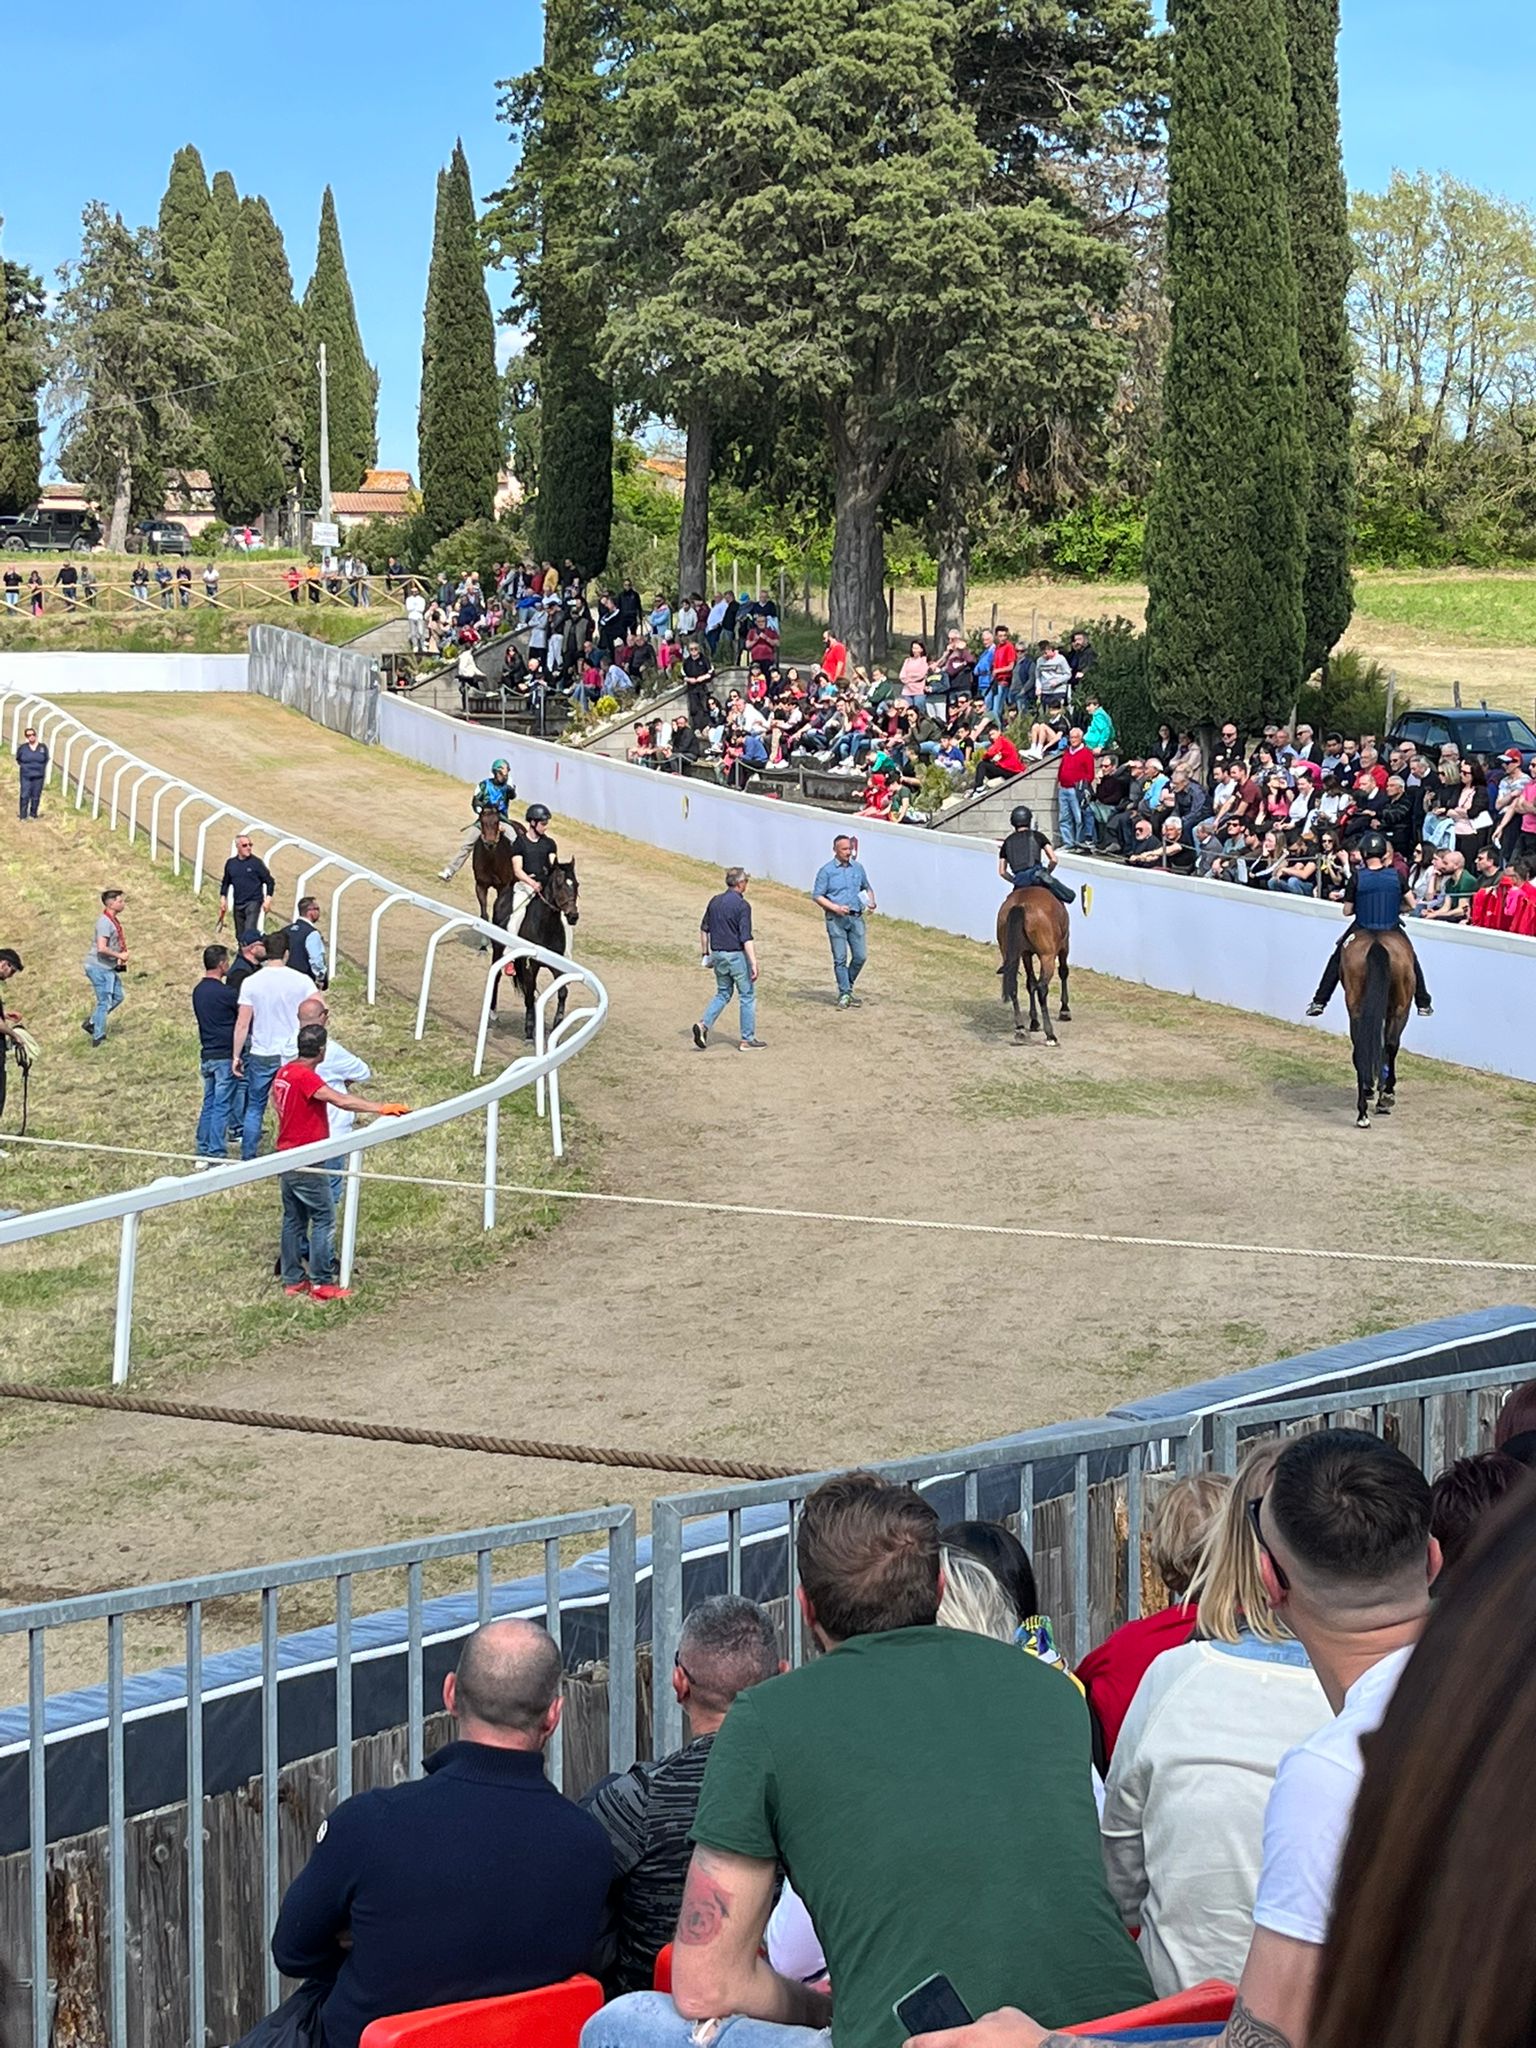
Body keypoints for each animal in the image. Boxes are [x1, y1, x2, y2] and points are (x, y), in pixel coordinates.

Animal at [499, 856, 581, 1032]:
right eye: (559, 884)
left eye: (577, 884)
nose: (573, 916)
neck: (546, 928)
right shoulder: (531, 965)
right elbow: (530, 994)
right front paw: (530, 1028)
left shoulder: (557, 964)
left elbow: (562, 992)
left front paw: (558, 1022)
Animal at [999, 884, 1073, 1040]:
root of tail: (1020, 905)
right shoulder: (1064, 946)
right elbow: (1063, 972)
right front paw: (1064, 1010)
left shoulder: (1026, 954)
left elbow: (1030, 983)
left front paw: (1034, 1021)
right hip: (1047, 956)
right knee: (1042, 988)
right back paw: (1050, 1034)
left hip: (1010, 953)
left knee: (1013, 985)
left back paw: (1020, 1028)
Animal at [1343, 925, 1417, 1130]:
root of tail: (1376, 943)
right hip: (1400, 1010)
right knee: (1389, 1046)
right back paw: (1383, 1098)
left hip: (1359, 1011)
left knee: (1365, 1049)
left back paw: (1363, 1113)